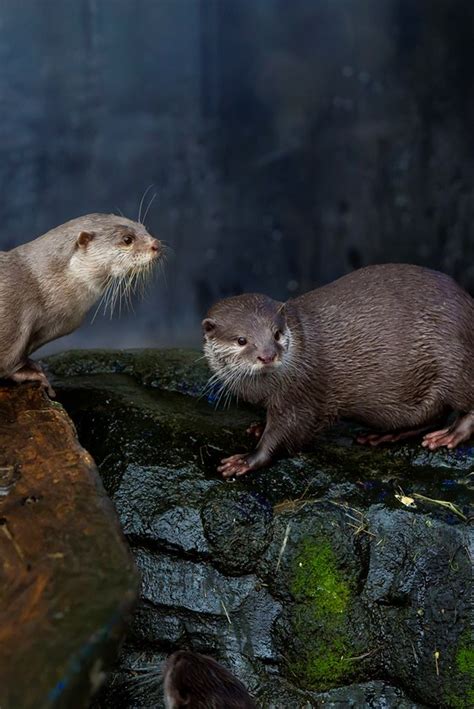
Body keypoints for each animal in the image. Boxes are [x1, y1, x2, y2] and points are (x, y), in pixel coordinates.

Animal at [0, 213, 161, 396]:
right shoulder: (12, 324)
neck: (38, 286)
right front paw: (34, 375)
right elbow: (8, 363)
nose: (156, 244)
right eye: (127, 239)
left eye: (145, 228)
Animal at [203, 264, 474, 476]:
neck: (260, 390)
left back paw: (449, 435)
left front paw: (246, 460)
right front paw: (259, 426)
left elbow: (286, 434)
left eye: (277, 334)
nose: (268, 355)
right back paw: (383, 436)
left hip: (455, 359)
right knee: (432, 416)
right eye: (241, 340)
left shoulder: (301, 393)